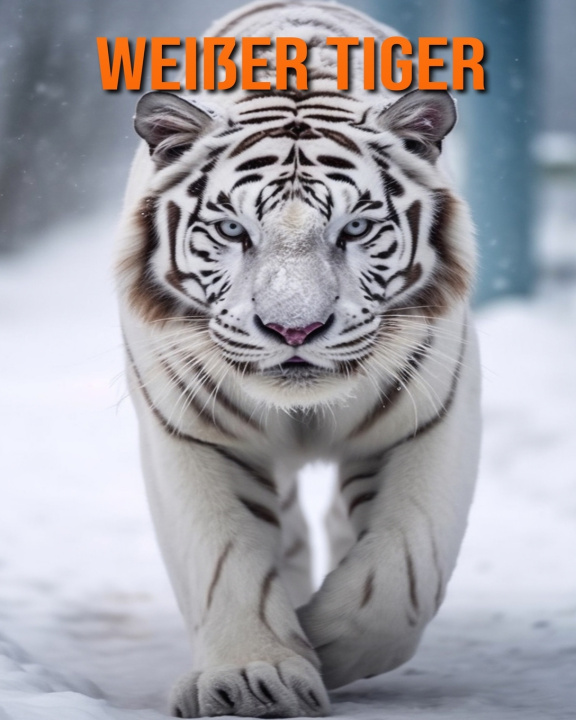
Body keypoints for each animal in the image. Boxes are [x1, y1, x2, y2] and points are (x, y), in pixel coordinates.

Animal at [115, 0, 481, 717]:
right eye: (232, 230)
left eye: (356, 228)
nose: (294, 329)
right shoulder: (190, 431)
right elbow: (224, 558)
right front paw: (252, 678)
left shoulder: (433, 415)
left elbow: (404, 565)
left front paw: (326, 642)